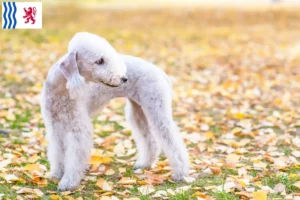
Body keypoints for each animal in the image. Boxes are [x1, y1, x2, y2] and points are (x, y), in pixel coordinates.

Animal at [41, 32, 189, 191]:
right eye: (99, 61)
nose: (124, 78)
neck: (62, 90)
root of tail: (162, 73)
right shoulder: (55, 125)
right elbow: (57, 151)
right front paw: (57, 174)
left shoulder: (78, 127)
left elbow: (74, 156)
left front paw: (68, 182)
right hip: (137, 111)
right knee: (150, 140)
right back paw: (144, 164)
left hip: (157, 108)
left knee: (172, 140)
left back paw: (181, 174)